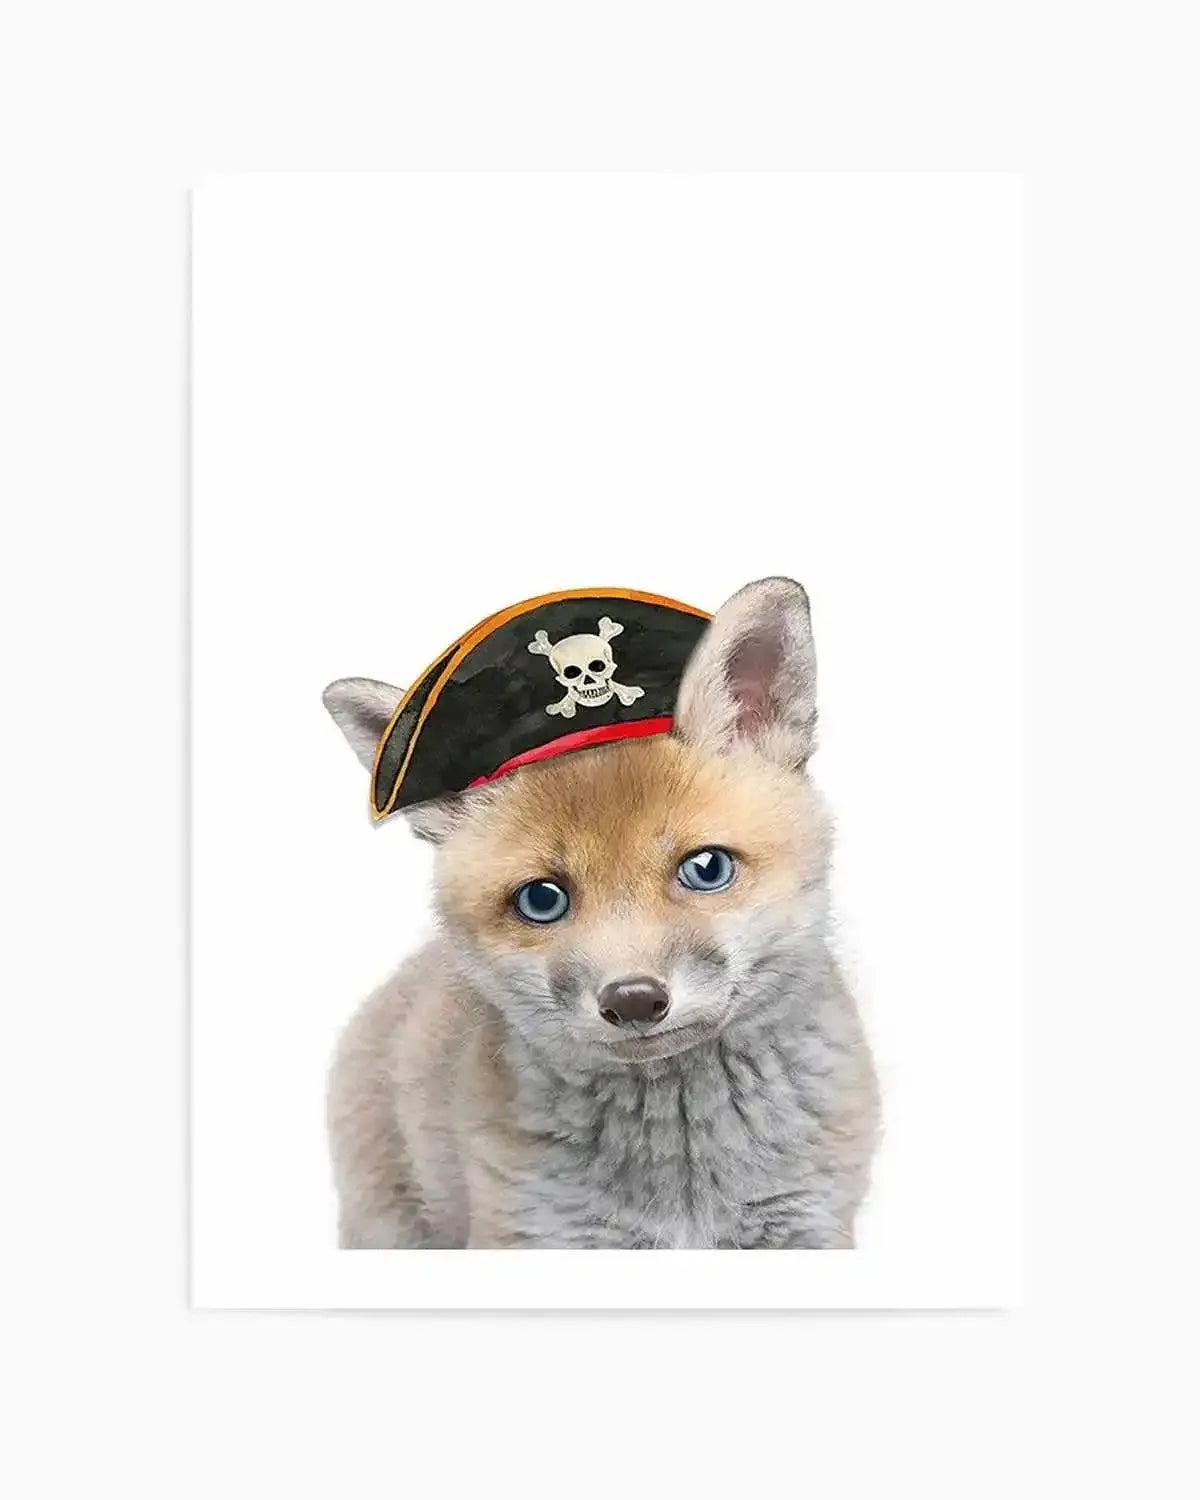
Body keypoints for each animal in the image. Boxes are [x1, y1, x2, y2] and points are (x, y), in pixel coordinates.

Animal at [322, 577, 879, 1248]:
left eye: (707, 868)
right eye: (542, 899)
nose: (634, 1001)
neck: (684, 1183)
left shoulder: (807, 1222)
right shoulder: (539, 1231)